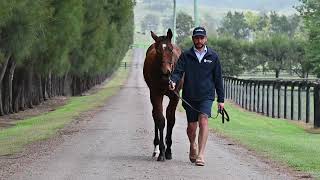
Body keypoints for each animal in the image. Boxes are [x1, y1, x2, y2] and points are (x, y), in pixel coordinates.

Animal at [142, 28, 182, 161]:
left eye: (170, 49)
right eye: (158, 51)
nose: (166, 72)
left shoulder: (175, 96)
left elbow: (171, 119)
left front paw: (168, 150)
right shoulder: (156, 94)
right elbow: (160, 119)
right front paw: (162, 151)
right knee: (155, 114)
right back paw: (156, 149)